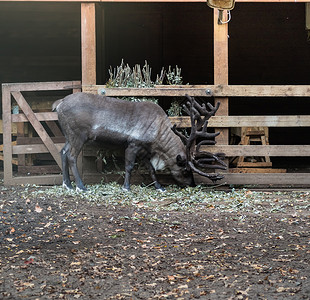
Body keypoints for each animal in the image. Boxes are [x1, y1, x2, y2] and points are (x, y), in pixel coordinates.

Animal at [52, 92, 225, 192]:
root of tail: (58, 103)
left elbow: (151, 169)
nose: (192, 184)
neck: (159, 133)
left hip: (69, 136)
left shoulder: (144, 150)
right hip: (78, 135)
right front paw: (126, 187)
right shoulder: (133, 145)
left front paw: (159, 187)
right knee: (71, 156)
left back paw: (67, 184)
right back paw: (80, 187)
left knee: (62, 151)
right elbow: (129, 167)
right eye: (185, 171)